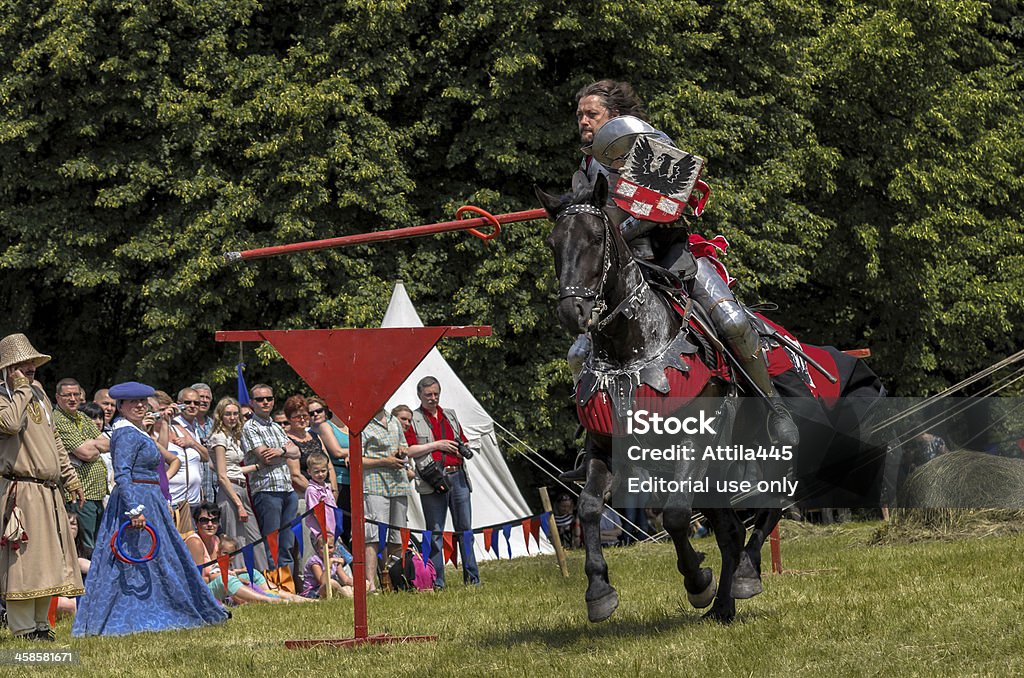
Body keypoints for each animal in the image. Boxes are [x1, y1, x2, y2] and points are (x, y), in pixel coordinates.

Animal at [540, 173, 884, 622]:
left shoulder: (697, 440)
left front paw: (697, 582)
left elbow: (676, 515)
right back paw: (723, 606)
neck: (634, 352)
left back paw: (745, 575)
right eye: (554, 243)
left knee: (767, 507)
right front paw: (599, 590)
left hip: (771, 452)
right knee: (732, 531)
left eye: (597, 238)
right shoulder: (603, 445)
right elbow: (589, 508)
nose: (573, 312)